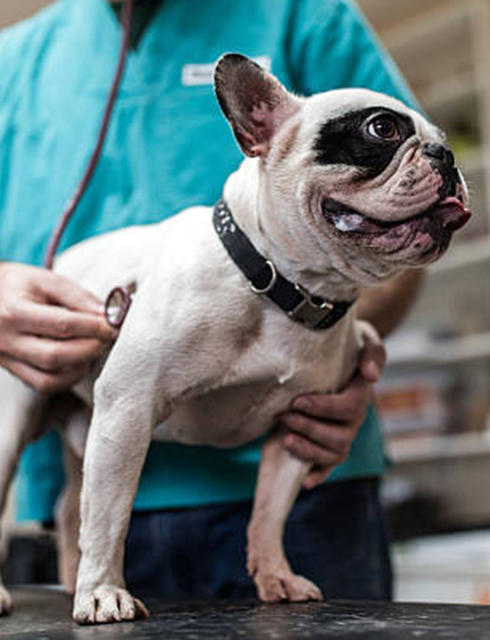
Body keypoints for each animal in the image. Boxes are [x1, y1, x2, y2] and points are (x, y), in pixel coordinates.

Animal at [0, 55, 468, 624]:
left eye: (441, 137)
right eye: (382, 129)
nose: (447, 155)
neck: (280, 283)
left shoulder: (296, 430)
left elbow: (268, 512)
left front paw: (274, 575)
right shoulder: (129, 408)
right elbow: (112, 515)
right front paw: (104, 593)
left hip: (86, 428)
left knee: (72, 506)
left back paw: (69, 579)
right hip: (16, 421)